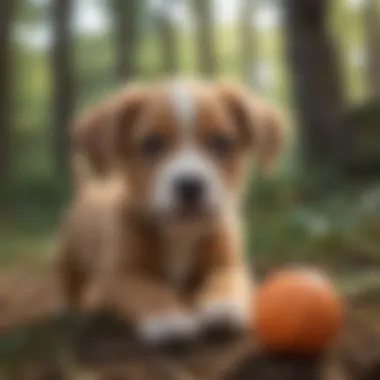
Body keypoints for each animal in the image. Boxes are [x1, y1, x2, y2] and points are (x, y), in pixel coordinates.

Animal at [58, 81, 284, 346]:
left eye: (220, 142)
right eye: (152, 144)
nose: (190, 185)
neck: (180, 233)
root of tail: (89, 188)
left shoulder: (229, 263)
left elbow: (225, 280)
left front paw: (222, 306)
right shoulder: (118, 275)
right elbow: (148, 289)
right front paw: (168, 317)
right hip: (69, 257)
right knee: (70, 284)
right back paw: (71, 310)